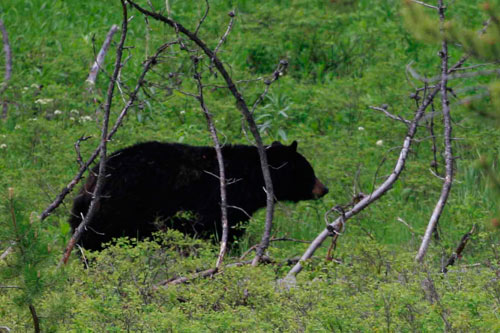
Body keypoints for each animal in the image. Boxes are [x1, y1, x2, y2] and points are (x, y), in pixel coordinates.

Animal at [69, 139, 328, 250]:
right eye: (309, 171)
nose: (324, 188)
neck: (252, 177)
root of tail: (92, 180)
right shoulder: (222, 201)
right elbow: (219, 230)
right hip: (120, 208)